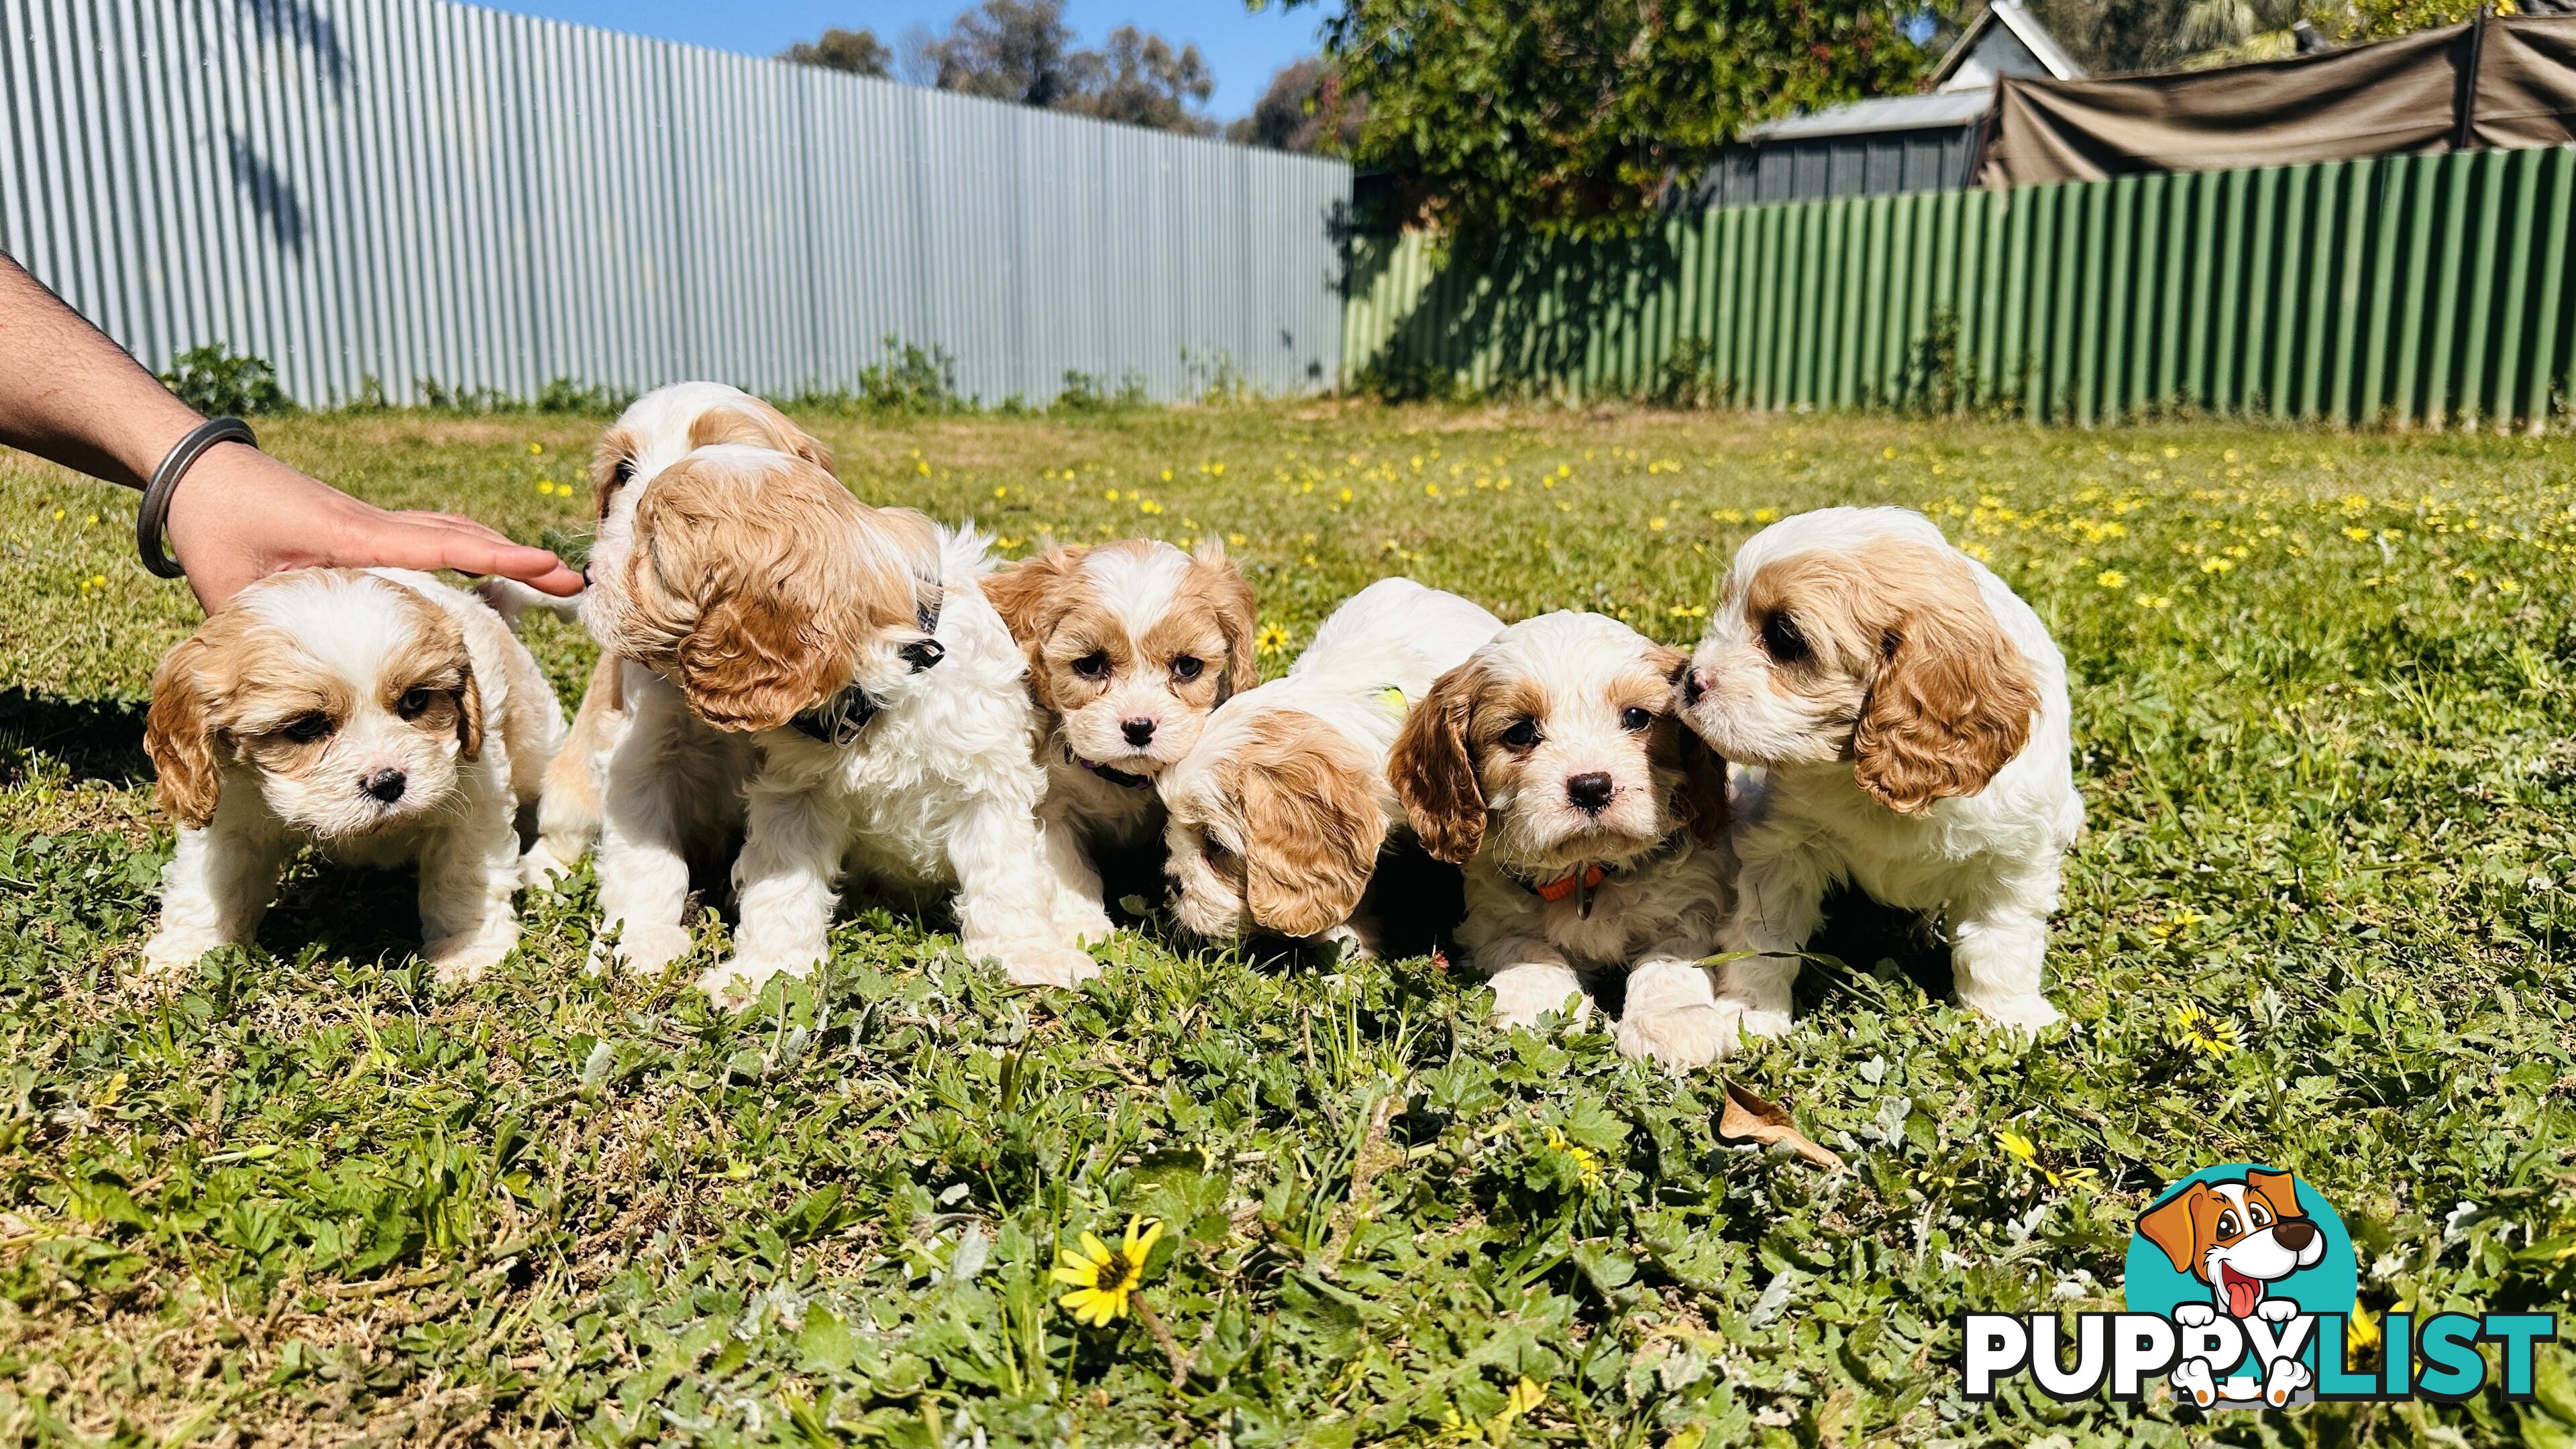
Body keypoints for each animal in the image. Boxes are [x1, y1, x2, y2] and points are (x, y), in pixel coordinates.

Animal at [141, 564, 564, 979]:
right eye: (306, 726)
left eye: (416, 700)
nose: (389, 782)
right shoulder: (230, 809)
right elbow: (213, 879)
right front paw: (190, 948)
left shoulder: (475, 802)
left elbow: (466, 877)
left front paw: (469, 949)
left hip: (537, 745)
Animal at [1391, 603, 1731, 1067]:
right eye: (1519, 732)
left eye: (1637, 718)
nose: (1591, 786)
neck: (1586, 873)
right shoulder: (1491, 918)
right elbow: (1527, 949)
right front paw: (1537, 1010)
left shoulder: (1689, 907)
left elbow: (1670, 960)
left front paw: (1675, 1023)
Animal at [1679, 502, 2081, 1031]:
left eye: (1786, 638)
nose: (1687, 680)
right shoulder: (1783, 842)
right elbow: (1765, 933)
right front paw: (1752, 1011)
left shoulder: (2013, 860)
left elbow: (2000, 942)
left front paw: (2008, 1017)